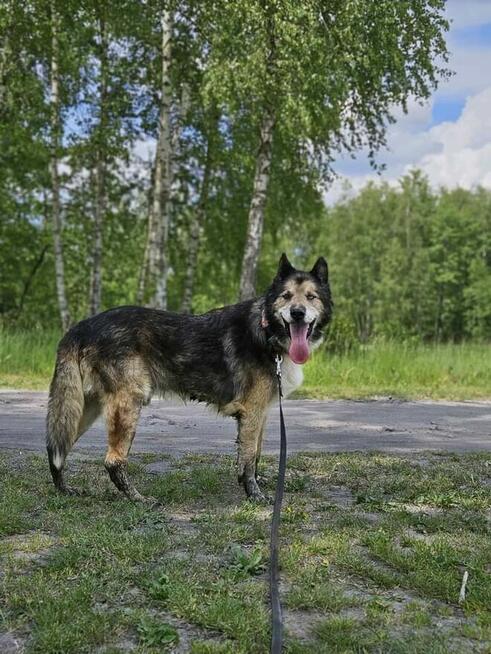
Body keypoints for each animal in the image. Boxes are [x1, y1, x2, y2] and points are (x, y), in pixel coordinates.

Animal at [46, 254, 332, 504]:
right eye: (286, 296)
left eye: (311, 297)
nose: (297, 313)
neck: (266, 330)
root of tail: (83, 326)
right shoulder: (252, 412)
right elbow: (249, 458)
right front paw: (254, 495)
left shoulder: (260, 414)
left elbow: (255, 456)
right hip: (127, 405)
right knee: (113, 461)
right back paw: (137, 499)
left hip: (86, 406)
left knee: (57, 446)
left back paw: (63, 489)